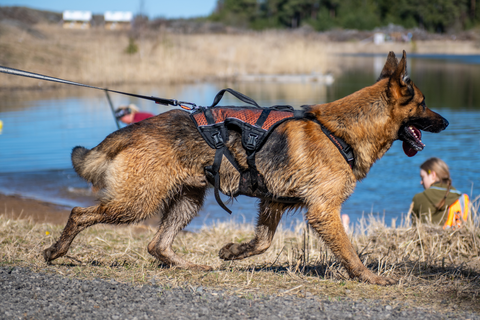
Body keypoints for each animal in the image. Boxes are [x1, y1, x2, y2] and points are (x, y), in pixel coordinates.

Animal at [43, 51, 448, 286]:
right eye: (424, 103)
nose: (445, 122)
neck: (340, 132)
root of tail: (133, 128)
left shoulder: (274, 202)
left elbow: (262, 242)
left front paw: (232, 252)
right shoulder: (324, 212)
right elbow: (349, 251)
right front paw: (368, 277)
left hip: (188, 200)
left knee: (157, 244)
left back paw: (188, 266)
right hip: (136, 203)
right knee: (79, 213)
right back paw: (56, 252)